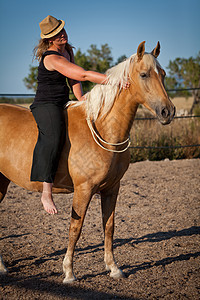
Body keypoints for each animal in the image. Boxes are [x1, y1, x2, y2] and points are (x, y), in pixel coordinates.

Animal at [0, 41, 175, 282]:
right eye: (144, 74)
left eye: (163, 74)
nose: (168, 111)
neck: (102, 127)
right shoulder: (83, 190)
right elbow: (76, 228)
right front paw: (69, 272)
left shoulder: (112, 188)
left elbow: (109, 226)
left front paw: (114, 268)